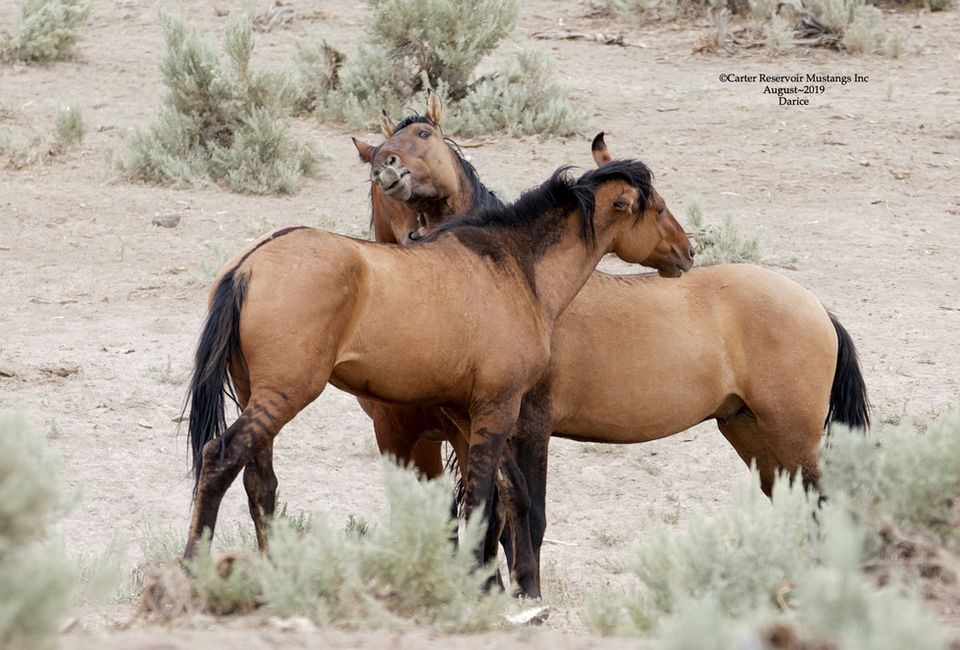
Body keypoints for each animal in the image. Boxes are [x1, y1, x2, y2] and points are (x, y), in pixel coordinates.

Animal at [182, 155, 696, 599]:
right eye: (658, 208)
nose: (689, 251)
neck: (515, 267)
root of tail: (249, 265)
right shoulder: (497, 407)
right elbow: (485, 500)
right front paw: (482, 583)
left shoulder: (468, 415)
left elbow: (511, 496)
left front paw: (517, 587)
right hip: (284, 394)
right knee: (219, 459)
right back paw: (193, 568)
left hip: (258, 395)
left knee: (260, 483)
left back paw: (277, 573)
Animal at [353, 102, 870, 592]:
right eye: (377, 158)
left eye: (426, 135)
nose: (387, 168)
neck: (523, 280)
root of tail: (817, 308)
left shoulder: (525, 428)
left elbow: (523, 515)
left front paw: (525, 591)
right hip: (752, 432)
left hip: (793, 436)